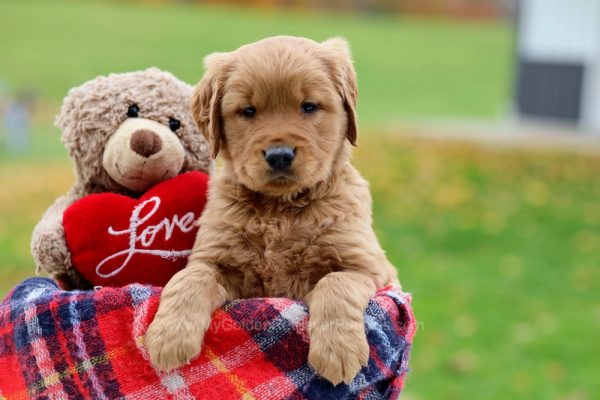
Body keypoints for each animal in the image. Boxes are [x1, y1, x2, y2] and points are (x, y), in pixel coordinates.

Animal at [145, 36, 398, 384]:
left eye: (309, 106)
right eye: (248, 111)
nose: (279, 155)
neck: (279, 210)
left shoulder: (370, 268)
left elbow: (335, 283)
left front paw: (338, 350)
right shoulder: (214, 259)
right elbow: (189, 277)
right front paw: (168, 336)